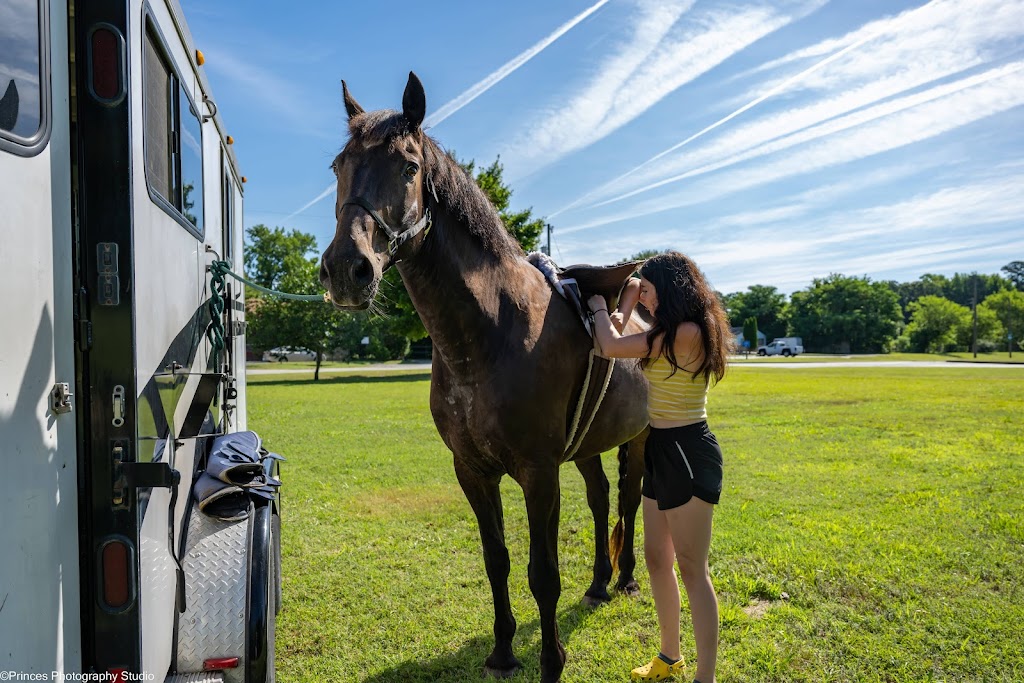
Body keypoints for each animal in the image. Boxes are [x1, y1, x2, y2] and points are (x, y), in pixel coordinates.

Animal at [319, 72, 649, 682]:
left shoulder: (539, 473)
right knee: (600, 500)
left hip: (638, 439)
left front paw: (551, 661)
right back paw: (598, 584)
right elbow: (497, 560)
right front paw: (502, 651)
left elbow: (543, 574)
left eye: (408, 166)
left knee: (630, 500)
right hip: (588, 446)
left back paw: (628, 578)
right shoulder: (473, 471)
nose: (346, 270)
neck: (489, 337)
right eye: (338, 167)